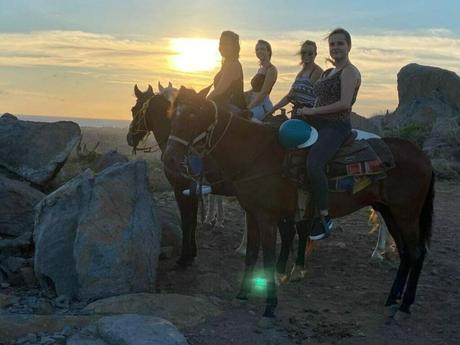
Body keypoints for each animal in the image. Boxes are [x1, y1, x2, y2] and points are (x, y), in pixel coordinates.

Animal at [125, 83, 310, 274]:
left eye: (134, 109)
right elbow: (193, 220)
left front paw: (184, 258)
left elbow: (187, 221)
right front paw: (192, 253)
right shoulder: (193, 190)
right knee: (289, 231)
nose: (129, 137)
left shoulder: (180, 189)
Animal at [163, 87, 434, 322]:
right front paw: (242, 295)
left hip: (406, 213)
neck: (255, 155)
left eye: (193, 115)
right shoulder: (252, 213)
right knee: (406, 253)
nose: (170, 159)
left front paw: (269, 307)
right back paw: (392, 300)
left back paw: (404, 305)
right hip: (390, 211)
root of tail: (422, 156)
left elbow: (269, 258)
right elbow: (251, 254)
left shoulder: (268, 216)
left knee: (416, 253)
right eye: (171, 114)